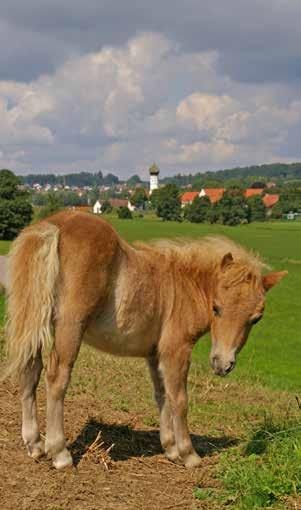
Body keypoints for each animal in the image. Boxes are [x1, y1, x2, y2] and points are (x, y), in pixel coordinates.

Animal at [3, 211, 288, 470]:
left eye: (256, 318)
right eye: (216, 308)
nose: (223, 364)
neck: (184, 287)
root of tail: (56, 224)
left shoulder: (155, 353)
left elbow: (162, 395)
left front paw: (170, 449)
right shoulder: (177, 349)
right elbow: (180, 399)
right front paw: (189, 455)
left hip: (35, 319)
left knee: (30, 370)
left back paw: (35, 445)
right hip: (69, 326)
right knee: (56, 377)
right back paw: (60, 454)